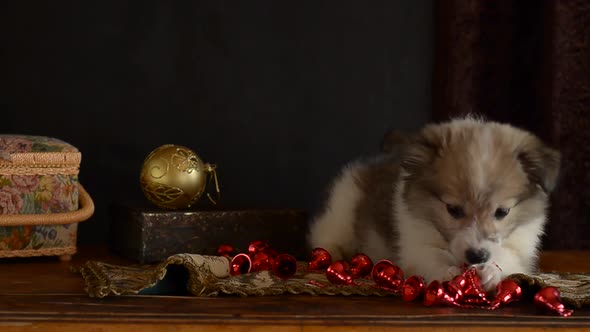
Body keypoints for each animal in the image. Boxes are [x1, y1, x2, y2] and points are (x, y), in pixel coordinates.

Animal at [308, 116, 560, 290]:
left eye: (502, 211)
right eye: (453, 209)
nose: (476, 256)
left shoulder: (521, 249)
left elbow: (507, 257)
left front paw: (491, 270)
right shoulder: (414, 244)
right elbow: (431, 256)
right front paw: (446, 272)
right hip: (341, 210)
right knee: (326, 235)